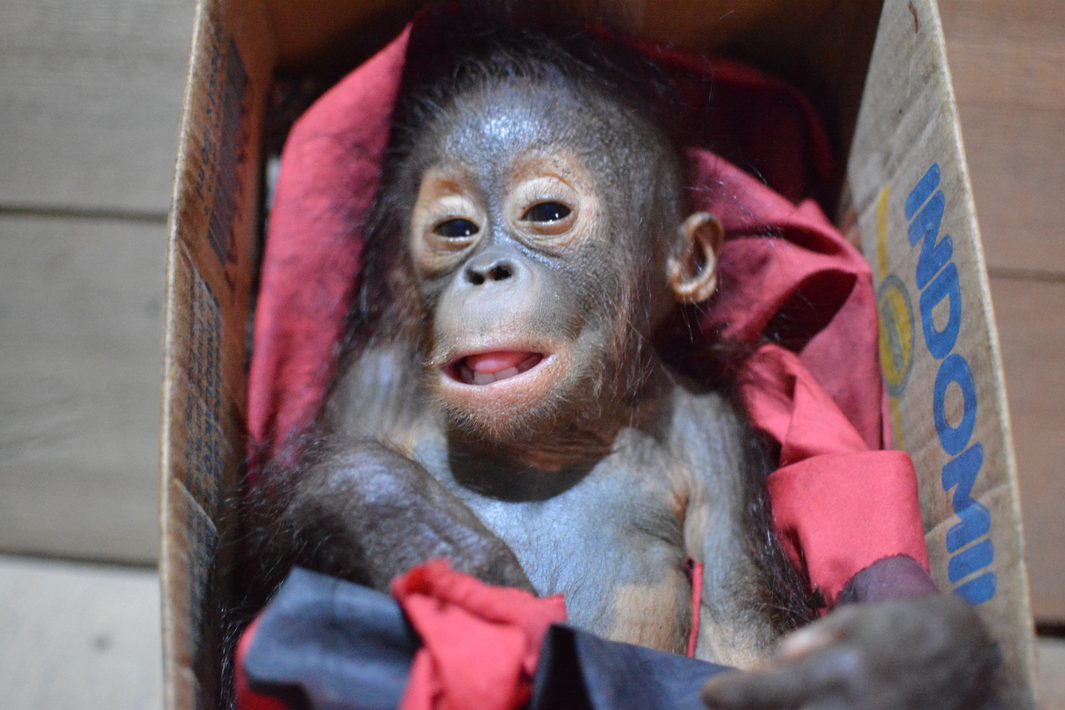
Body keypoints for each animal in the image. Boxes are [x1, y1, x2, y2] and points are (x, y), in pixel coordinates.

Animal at [241, 12, 998, 710]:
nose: (486, 270)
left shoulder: (717, 438)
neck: (543, 443)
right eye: (454, 229)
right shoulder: (373, 382)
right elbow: (269, 588)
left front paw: (884, 668)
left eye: (547, 214)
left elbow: (736, 645)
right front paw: (408, 528)